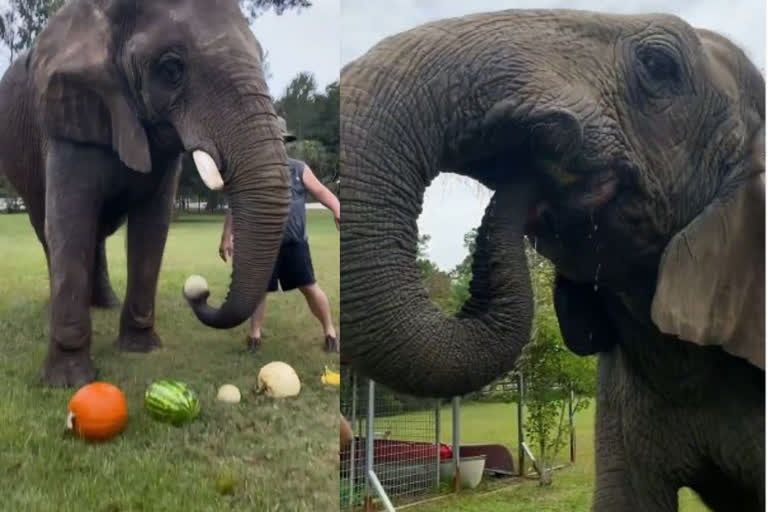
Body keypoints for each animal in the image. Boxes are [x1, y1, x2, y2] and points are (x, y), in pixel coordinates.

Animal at [0, 0, 292, 384]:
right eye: (171, 69)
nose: (199, 293)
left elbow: (152, 226)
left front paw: (140, 350)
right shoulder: (66, 119)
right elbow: (70, 223)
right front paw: (68, 382)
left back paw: (104, 304)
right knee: (48, 227)